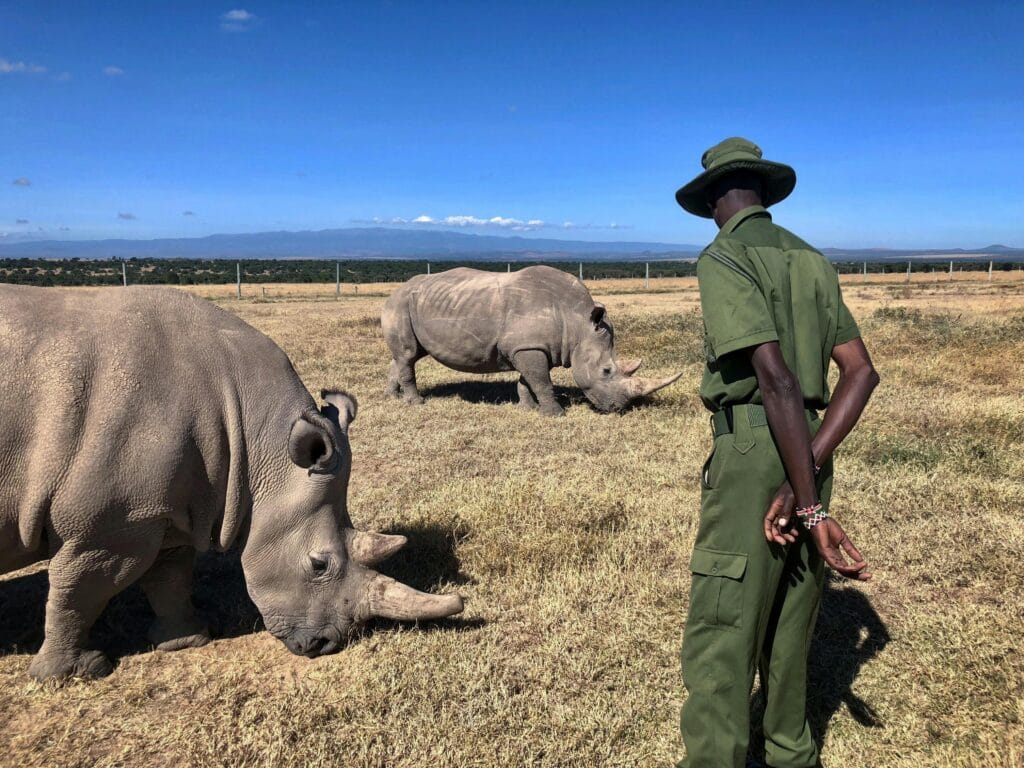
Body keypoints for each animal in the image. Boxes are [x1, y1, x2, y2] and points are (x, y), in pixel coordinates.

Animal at [0, 285, 463, 680]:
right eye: (319, 565)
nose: (324, 645)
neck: (255, 436)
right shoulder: (106, 526)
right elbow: (80, 590)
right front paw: (74, 673)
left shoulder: (162, 507)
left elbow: (170, 576)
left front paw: (188, 640)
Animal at [382, 265, 681, 415]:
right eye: (607, 371)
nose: (617, 409)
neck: (577, 322)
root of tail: (394, 292)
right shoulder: (529, 347)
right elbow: (541, 381)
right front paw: (555, 414)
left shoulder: (530, 347)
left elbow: (528, 381)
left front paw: (528, 408)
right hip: (400, 305)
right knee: (407, 355)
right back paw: (417, 404)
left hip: (414, 305)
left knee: (406, 355)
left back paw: (393, 397)